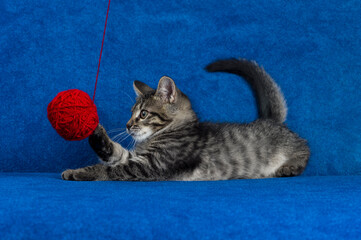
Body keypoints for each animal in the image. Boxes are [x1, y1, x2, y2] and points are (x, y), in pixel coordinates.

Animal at [62, 59, 310, 181]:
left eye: (143, 114)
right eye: (131, 113)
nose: (128, 125)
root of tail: (272, 121)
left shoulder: (151, 165)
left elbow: (110, 170)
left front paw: (79, 172)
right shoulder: (135, 156)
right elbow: (113, 153)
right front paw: (94, 130)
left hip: (291, 146)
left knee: (305, 148)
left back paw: (289, 167)